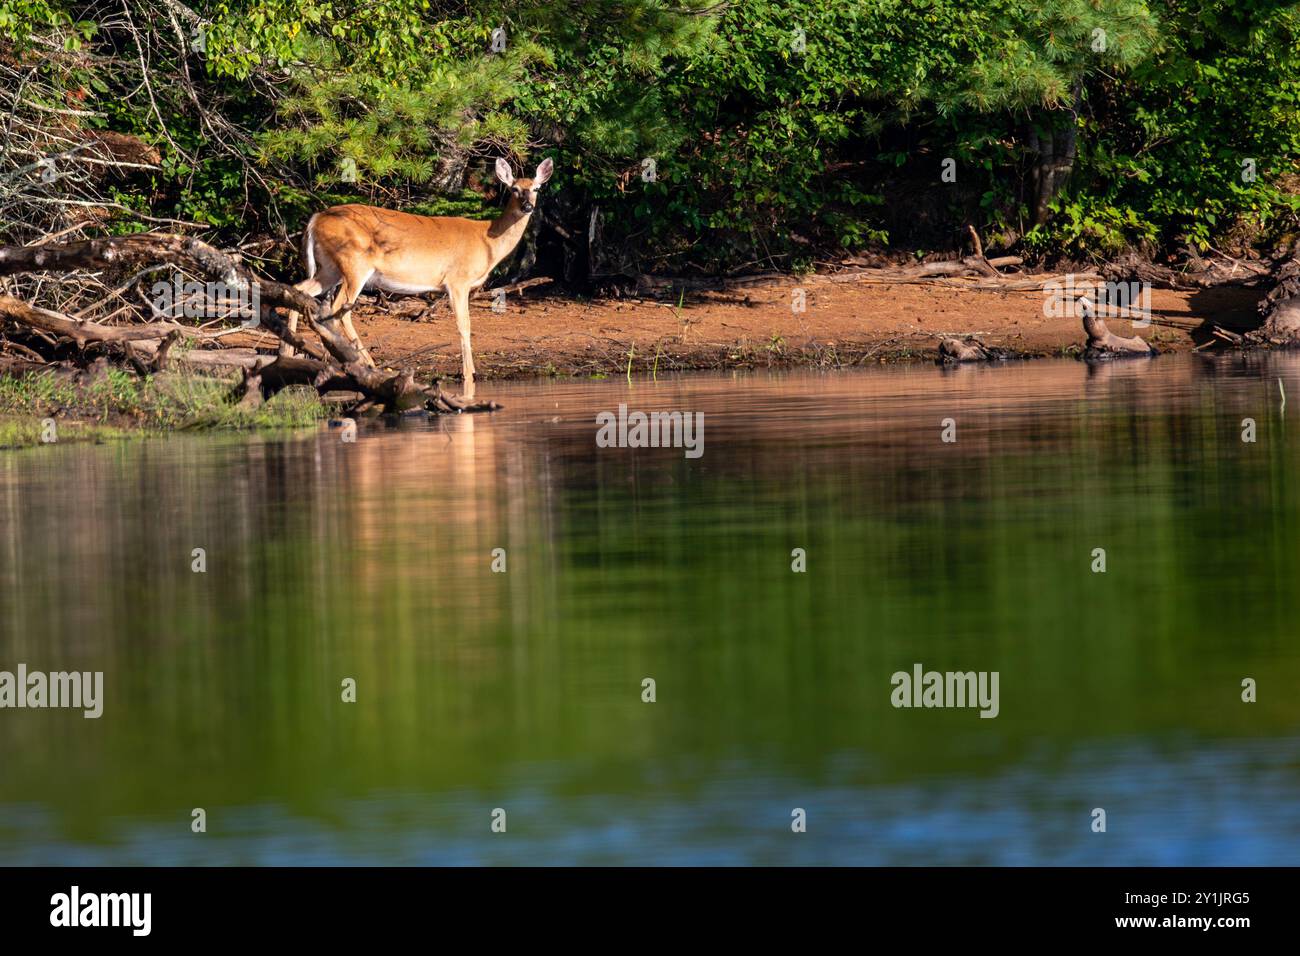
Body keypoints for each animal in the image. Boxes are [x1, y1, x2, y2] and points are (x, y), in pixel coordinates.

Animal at [284, 158, 553, 398]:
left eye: (536, 188)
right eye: (514, 188)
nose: (527, 207)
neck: (487, 240)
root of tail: (316, 219)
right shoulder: (458, 280)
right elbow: (464, 325)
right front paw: (469, 374)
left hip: (329, 268)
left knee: (298, 289)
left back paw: (287, 353)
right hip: (354, 263)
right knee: (340, 309)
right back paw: (371, 365)